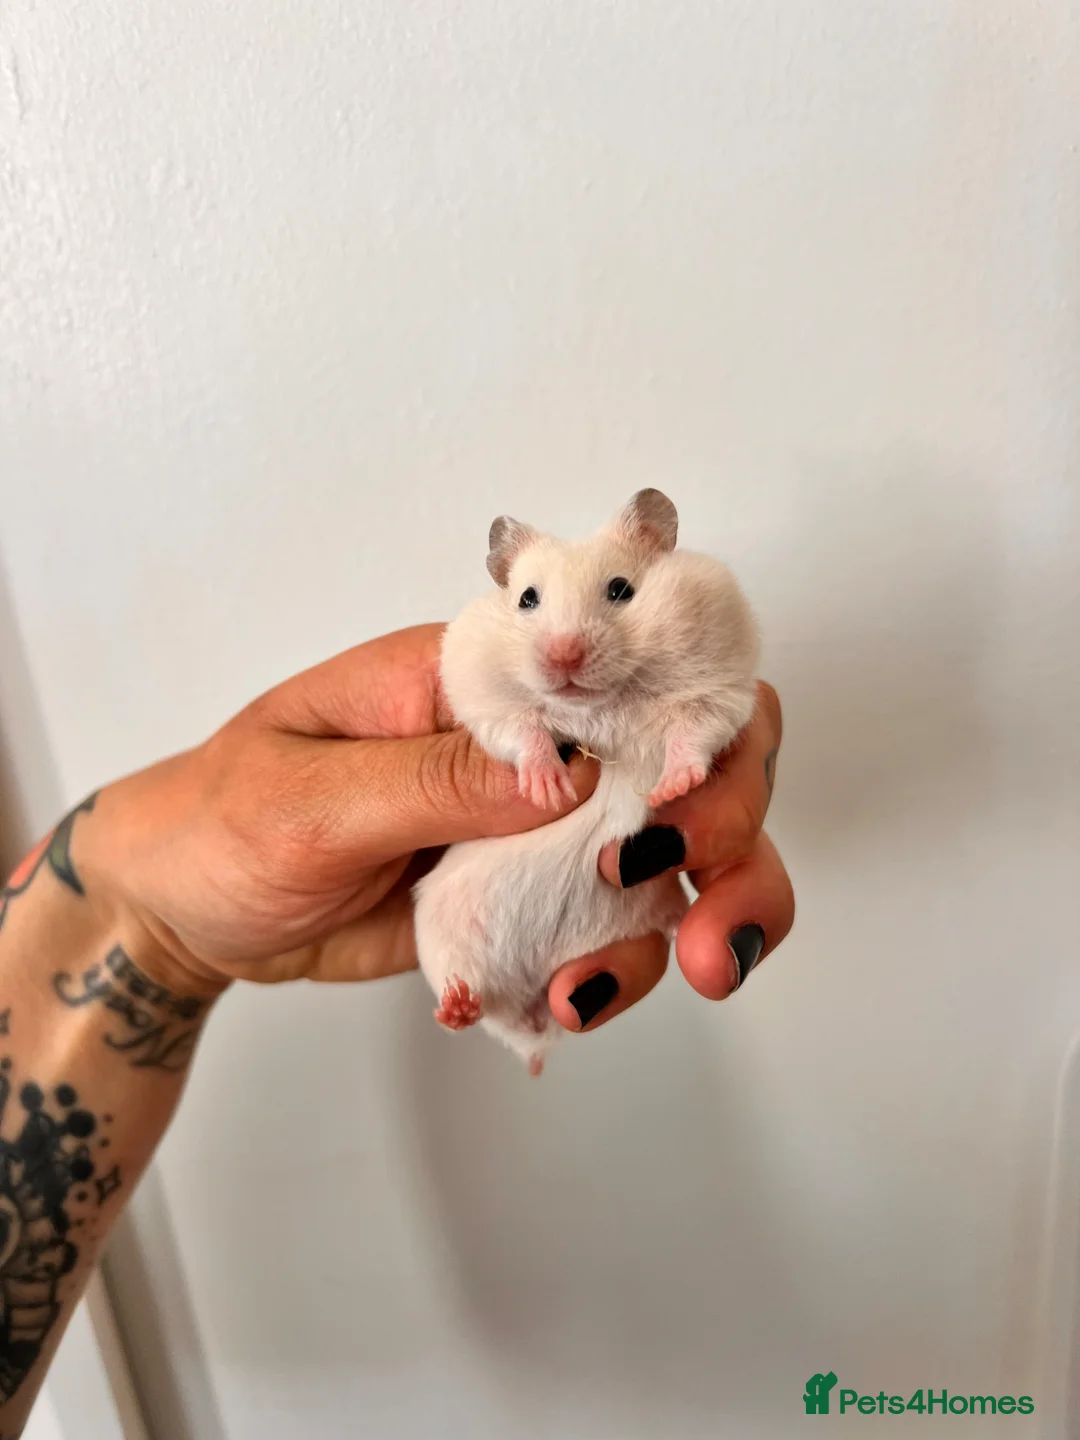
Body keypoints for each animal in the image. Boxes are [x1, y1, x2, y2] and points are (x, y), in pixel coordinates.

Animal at [413, 489, 760, 1074]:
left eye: (620, 589)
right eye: (527, 599)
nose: (564, 655)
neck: (600, 706)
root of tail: (538, 1033)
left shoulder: (719, 692)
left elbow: (694, 734)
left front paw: (673, 788)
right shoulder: (480, 692)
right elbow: (520, 730)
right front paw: (548, 787)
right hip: (438, 935)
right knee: (478, 1009)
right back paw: (458, 1005)